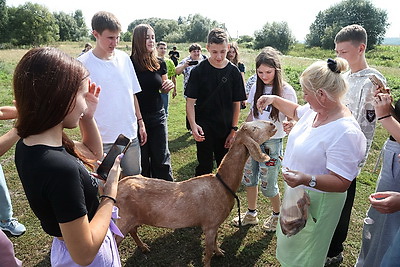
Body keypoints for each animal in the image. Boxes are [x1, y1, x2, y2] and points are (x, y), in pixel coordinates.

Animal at [115, 121, 276, 266]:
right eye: (254, 128)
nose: (273, 125)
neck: (222, 183)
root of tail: (118, 185)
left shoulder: (215, 224)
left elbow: (215, 241)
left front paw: (219, 252)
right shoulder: (209, 225)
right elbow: (208, 251)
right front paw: (209, 261)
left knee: (133, 231)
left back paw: (143, 247)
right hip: (121, 221)